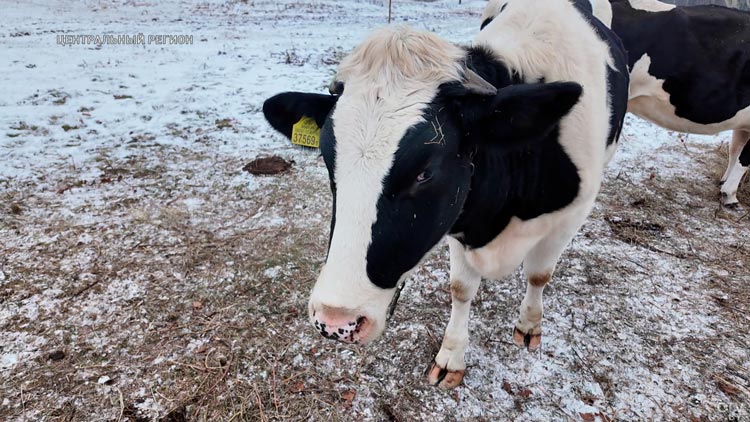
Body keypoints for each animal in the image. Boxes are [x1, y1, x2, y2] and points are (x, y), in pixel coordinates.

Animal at [262, 0, 628, 390]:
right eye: (328, 160)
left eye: (425, 172)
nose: (336, 320)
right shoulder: (458, 222)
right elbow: (461, 288)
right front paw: (452, 356)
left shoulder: (570, 216)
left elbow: (539, 275)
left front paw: (529, 325)